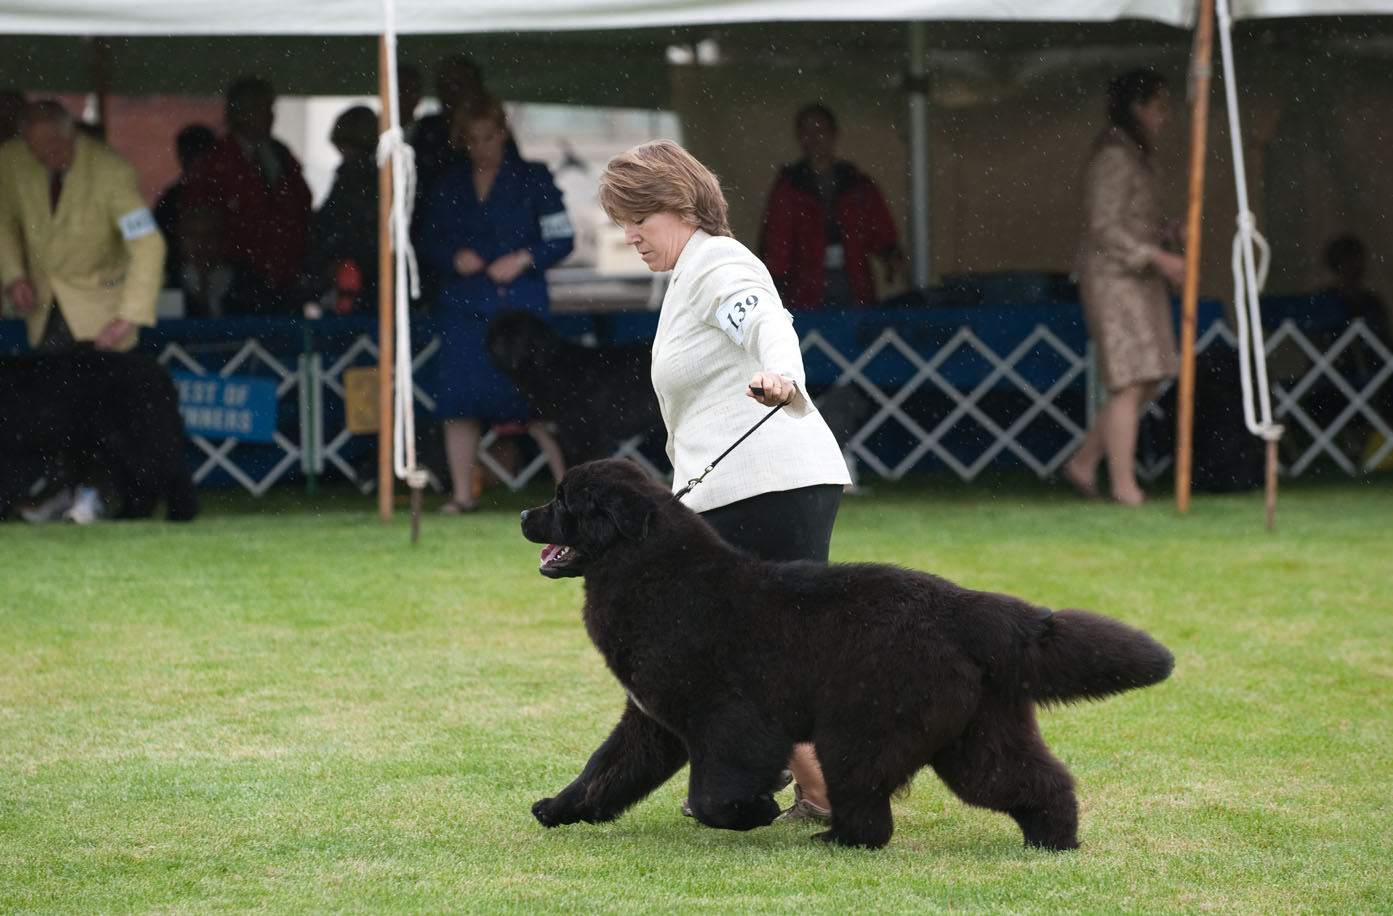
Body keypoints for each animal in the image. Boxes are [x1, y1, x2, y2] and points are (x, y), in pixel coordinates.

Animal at [0, 349, 199, 520]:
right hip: (115, 451)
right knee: (140, 487)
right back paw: (126, 516)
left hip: (143, 440)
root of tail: (161, 374)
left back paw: (180, 515)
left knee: (174, 475)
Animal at [523, 459, 1175, 846]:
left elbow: (710, 795)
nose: (527, 513)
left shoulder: (728, 721)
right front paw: (557, 807)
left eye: (565, 502)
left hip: (861, 728)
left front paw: (755, 811)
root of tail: (966, 606)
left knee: (870, 811)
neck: (653, 572)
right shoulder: (652, 719)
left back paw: (837, 839)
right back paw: (1054, 841)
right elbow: (606, 768)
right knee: (1034, 780)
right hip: (977, 734)